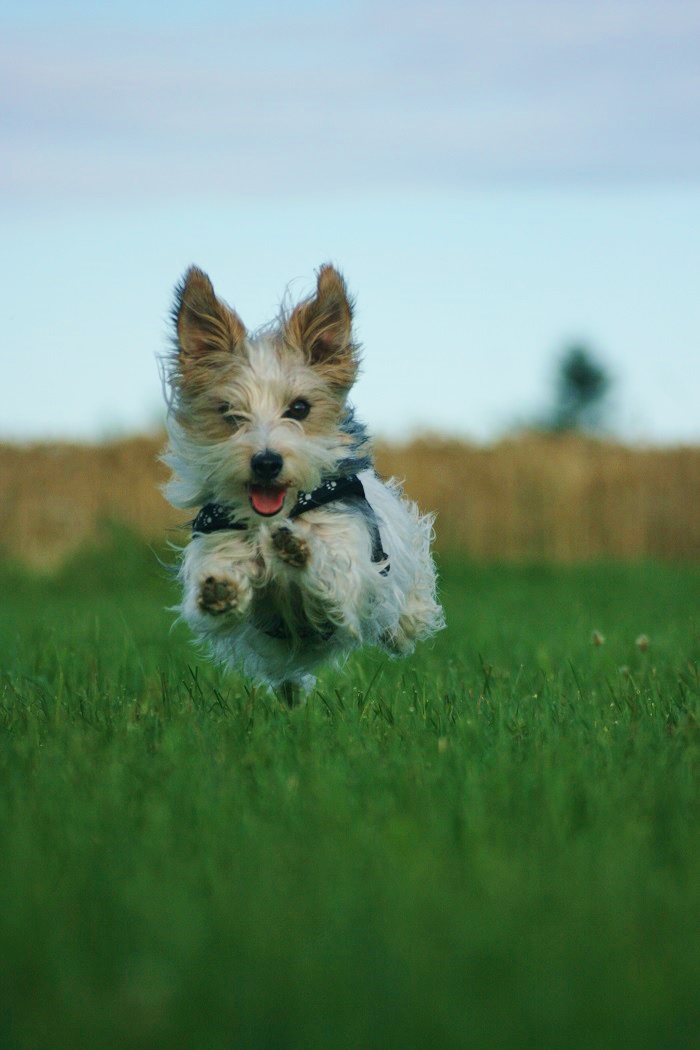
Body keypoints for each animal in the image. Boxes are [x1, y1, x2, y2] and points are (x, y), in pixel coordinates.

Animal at [162, 264, 442, 705]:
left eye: (299, 408)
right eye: (229, 413)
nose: (266, 461)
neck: (276, 516)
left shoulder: (350, 562)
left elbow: (334, 580)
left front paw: (299, 553)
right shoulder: (216, 538)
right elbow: (220, 578)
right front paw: (221, 588)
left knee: (405, 613)